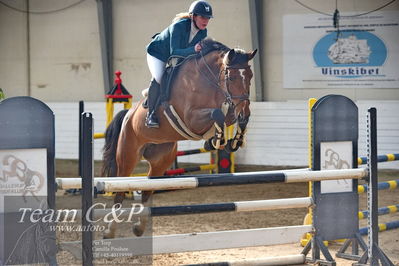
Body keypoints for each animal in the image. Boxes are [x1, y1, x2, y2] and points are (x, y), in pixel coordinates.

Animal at [100, 38, 256, 238]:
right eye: (232, 77)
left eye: (250, 76)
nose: (244, 111)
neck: (209, 80)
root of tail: (128, 115)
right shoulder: (191, 118)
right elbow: (217, 114)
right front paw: (217, 140)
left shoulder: (229, 109)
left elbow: (226, 117)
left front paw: (229, 140)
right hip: (127, 155)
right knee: (120, 191)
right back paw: (110, 231)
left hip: (161, 160)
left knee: (147, 190)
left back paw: (139, 227)